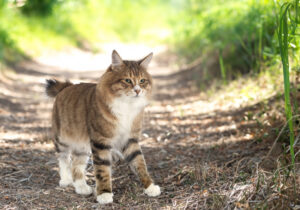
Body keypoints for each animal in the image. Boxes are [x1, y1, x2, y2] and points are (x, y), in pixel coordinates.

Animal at [44, 50, 161, 204]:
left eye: (142, 81)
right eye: (127, 80)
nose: (137, 91)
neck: (126, 107)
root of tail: (67, 86)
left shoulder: (130, 139)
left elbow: (140, 164)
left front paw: (150, 187)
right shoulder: (101, 142)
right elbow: (102, 170)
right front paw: (104, 194)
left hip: (82, 146)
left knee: (76, 165)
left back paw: (81, 187)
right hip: (62, 139)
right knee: (63, 158)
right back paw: (66, 180)